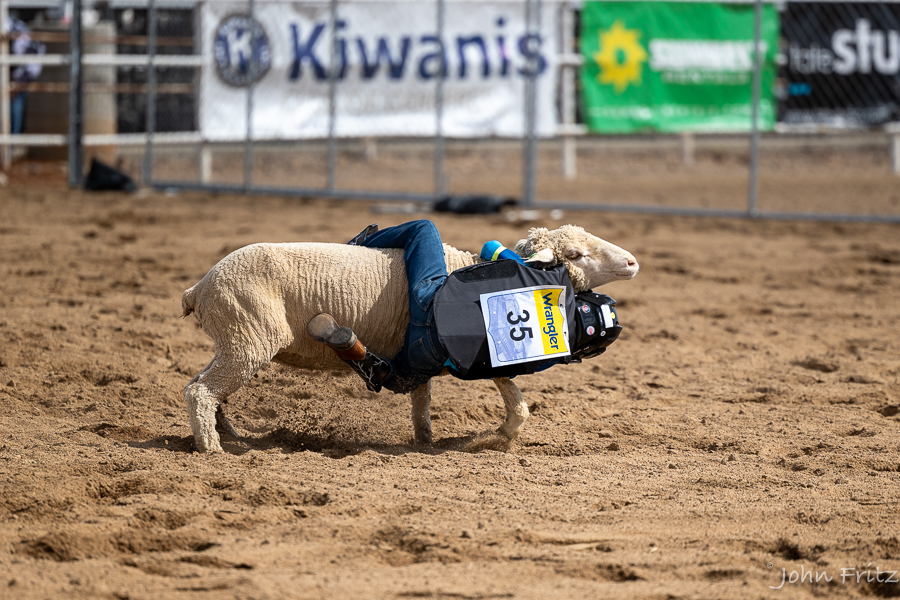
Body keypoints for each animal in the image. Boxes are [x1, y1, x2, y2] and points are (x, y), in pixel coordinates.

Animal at [179, 224, 636, 450]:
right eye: (574, 255)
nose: (632, 261)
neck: (468, 266)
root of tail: (199, 288)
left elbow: (422, 399)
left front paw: (425, 441)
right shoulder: (482, 345)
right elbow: (515, 400)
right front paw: (496, 438)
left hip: (236, 337)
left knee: (203, 386)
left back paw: (226, 432)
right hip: (248, 337)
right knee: (201, 391)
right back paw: (211, 448)